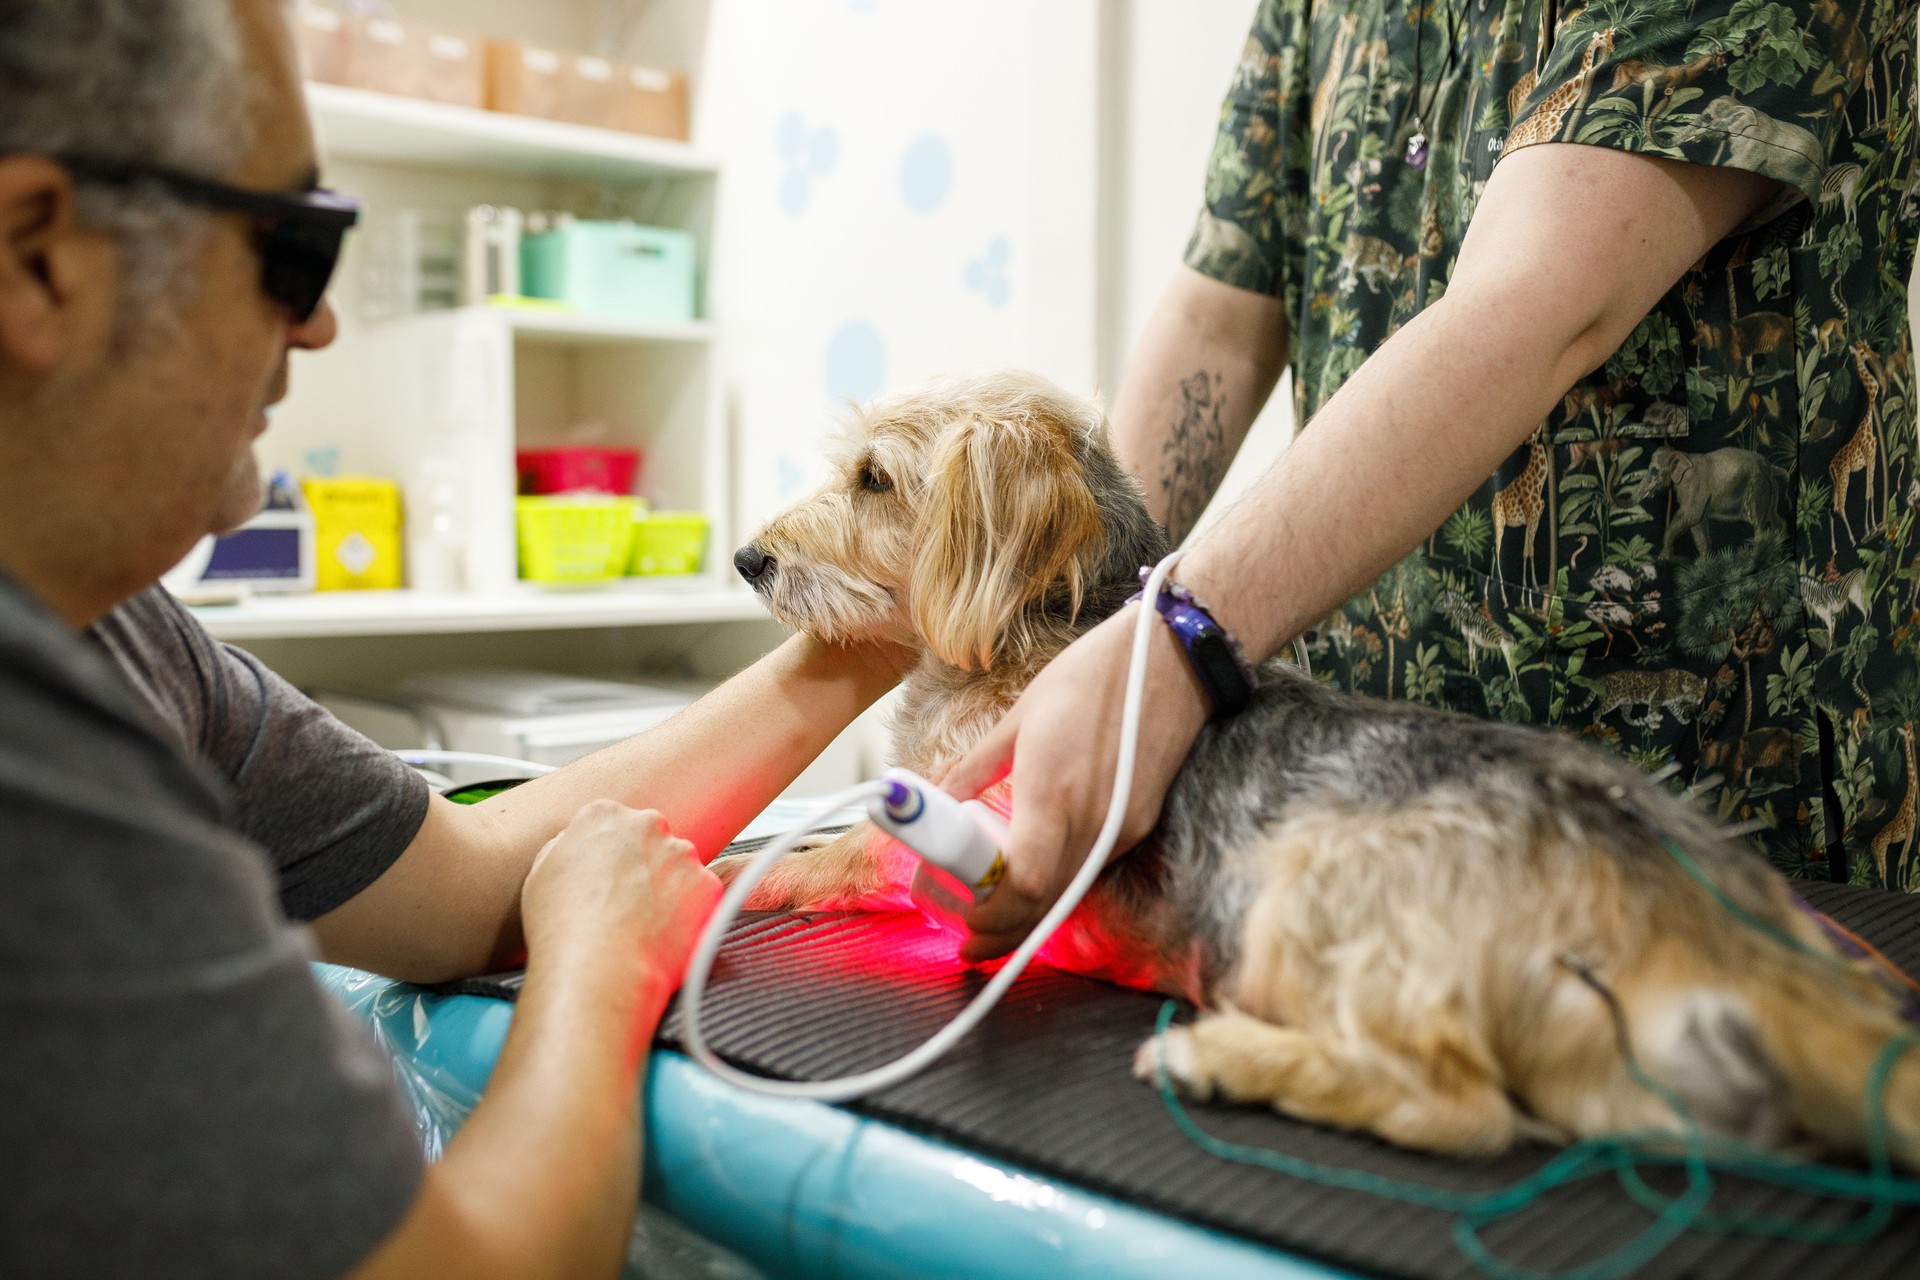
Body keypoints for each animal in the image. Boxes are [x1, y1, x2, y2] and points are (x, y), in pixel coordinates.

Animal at [721, 368, 1920, 1159]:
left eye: (874, 480)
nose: (746, 557)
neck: (1041, 629)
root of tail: (1693, 896)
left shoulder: (980, 819)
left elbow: (852, 852)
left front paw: (756, 872)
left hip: (1305, 891)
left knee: (1465, 1111)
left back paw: (1224, 1058)